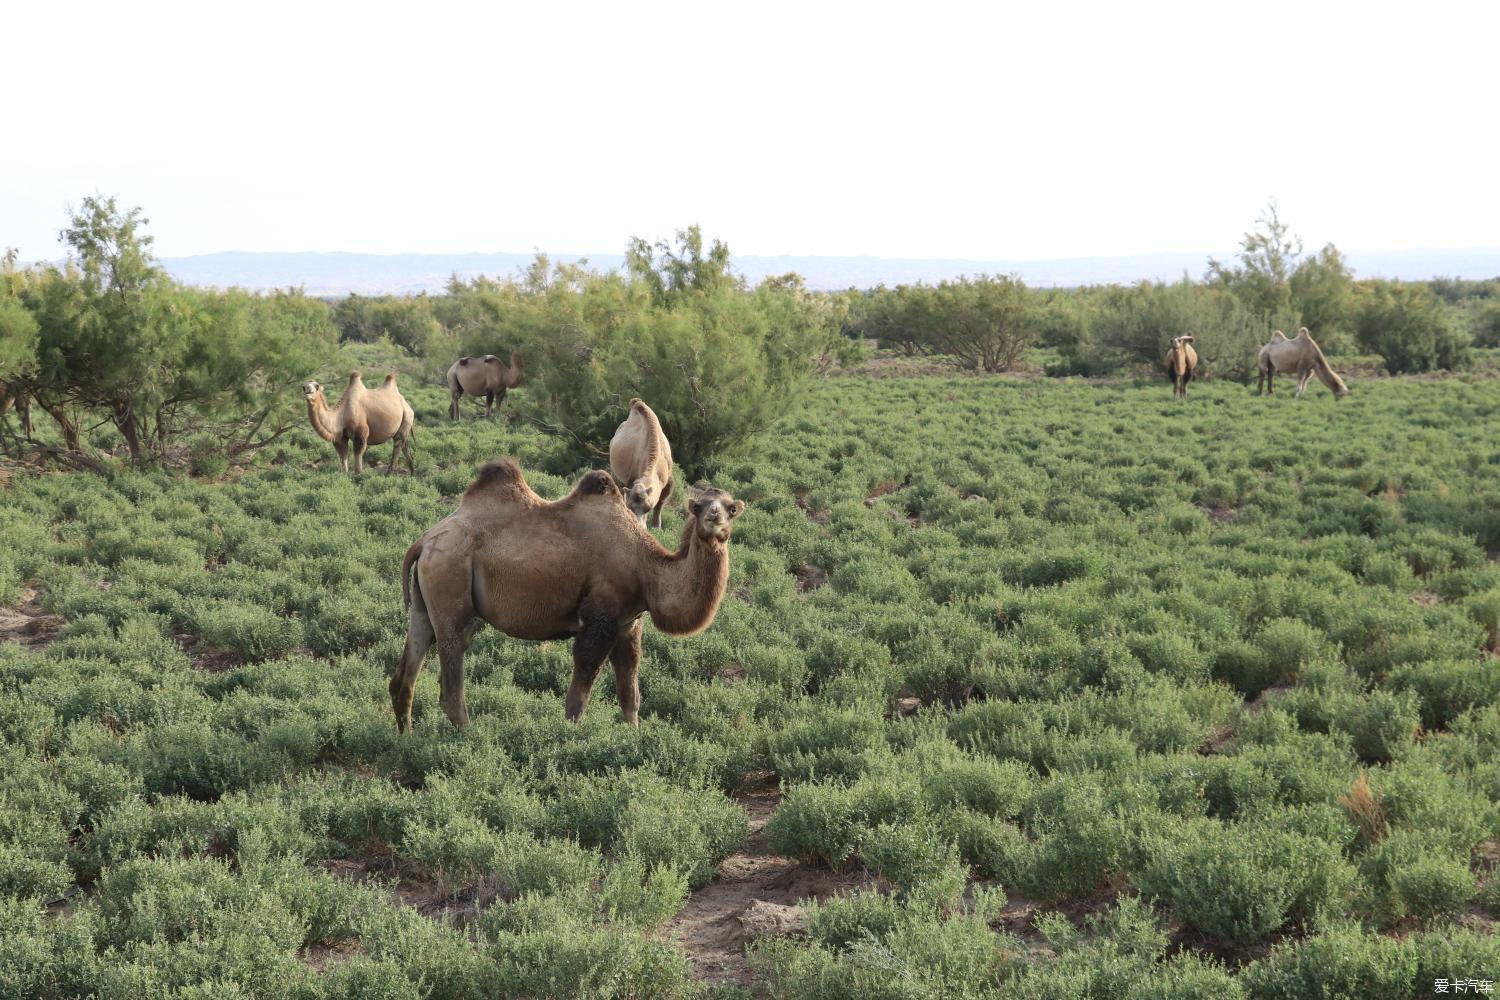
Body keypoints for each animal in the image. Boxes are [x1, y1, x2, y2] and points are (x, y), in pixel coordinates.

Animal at [393, 458, 744, 731]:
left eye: (731, 508)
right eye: (698, 506)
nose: (714, 518)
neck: (647, 567)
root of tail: (424, 540)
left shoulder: (629, 623)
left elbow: (629, 691)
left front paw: (634, 737)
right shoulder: (600, 616)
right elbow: (581, 690)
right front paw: (569, 739)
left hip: (426, 597)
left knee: (408, 668)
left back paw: (406, 737)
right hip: (450, 581)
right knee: (453, 663)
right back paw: (468, 737)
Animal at [612, 395, 678, 530]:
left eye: (648, 508)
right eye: (630, 507)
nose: (639, 527)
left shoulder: (668, 480)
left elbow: (661, 502)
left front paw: (656, 526)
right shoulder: (630, 479)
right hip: (615, 473)